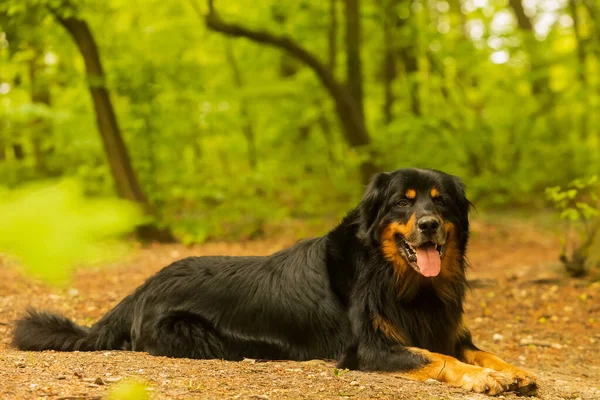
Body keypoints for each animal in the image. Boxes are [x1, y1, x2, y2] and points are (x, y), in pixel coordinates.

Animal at [12, 167, 540, 396]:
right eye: (403, 203)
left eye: (440, 201)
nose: (428, 225)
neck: (398, 277)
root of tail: (141, 287)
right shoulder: (369, 348)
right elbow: (440, 358)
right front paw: (485, 379)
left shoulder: (448, 329)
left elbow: (475, 350)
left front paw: (512, 370)